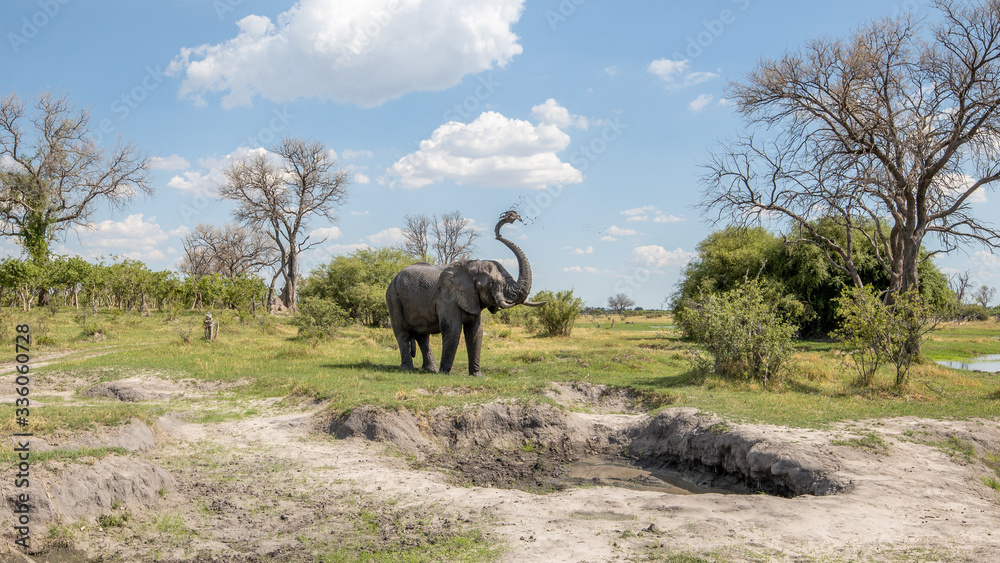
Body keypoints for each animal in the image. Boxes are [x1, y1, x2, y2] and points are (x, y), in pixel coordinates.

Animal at [385, 210, 545, 376]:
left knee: (423, 336)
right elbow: (453, 330)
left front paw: (477, 376)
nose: (510, 217)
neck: (471, 266)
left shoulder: (473, 299)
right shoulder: (447, 300)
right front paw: (444, 374)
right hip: (393, 298)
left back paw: (430, 370)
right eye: (490, 284)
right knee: (403, 333)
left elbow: (476, 331)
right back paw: (408, 369)